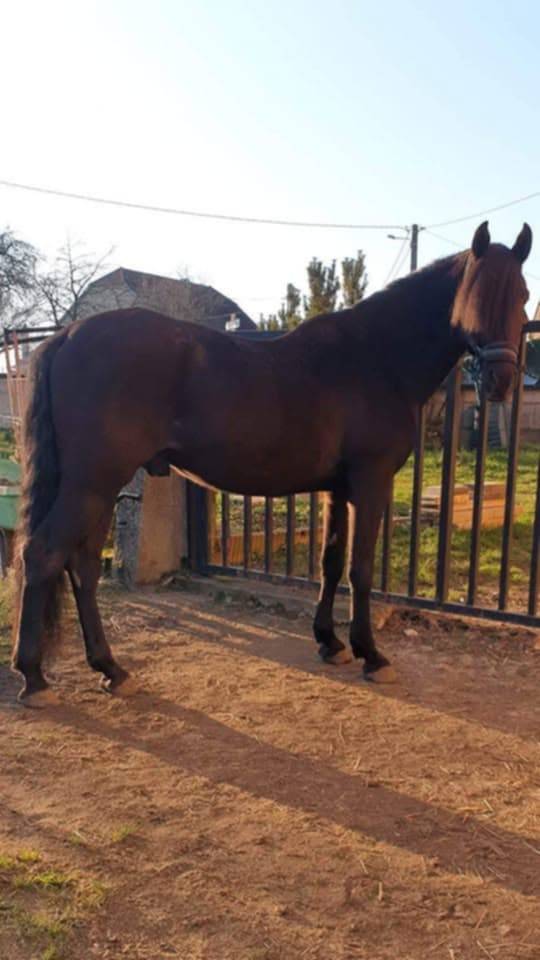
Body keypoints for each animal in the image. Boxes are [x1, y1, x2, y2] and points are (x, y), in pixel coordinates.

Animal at [11, 221, 532, 706]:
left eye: (524, 295)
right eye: (477, 295)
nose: (502, 382)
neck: (376, 358)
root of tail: (68, 335)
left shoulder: (336, 488)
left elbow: (330, 562)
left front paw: (330, 643)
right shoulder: (371, 482)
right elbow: (360, 569)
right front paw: (371, 655)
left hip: (97, 488)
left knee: (81, 566)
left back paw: (110, 669)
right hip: (93, 483)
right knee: (44, 553)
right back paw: (34, 677)